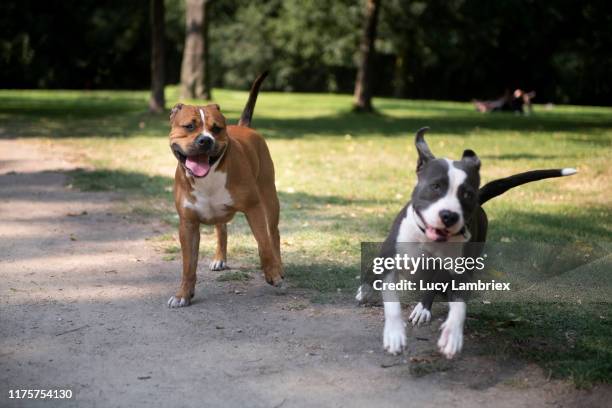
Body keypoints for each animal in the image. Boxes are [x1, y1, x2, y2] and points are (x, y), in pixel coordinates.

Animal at [167, 72, 282, 306]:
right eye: (189, 126)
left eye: (216, 128)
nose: (205, 140)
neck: (208, 177)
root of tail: (245, 126)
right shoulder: (188, 224)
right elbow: (188, 265)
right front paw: (183, 294)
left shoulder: (254, 208)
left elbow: (264, 243)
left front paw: (272, 273)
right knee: (222, 229)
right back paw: (220, 258)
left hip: (269, 198)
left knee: (273, 234)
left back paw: (280, 267)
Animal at [356, 127, 576, 356]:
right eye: (436, 186)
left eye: (467, 194)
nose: (449, 216)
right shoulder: (391, 256)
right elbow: (391, 300)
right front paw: (394, 333)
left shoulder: (458, 269)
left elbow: (456, 303)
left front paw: (450, 332)